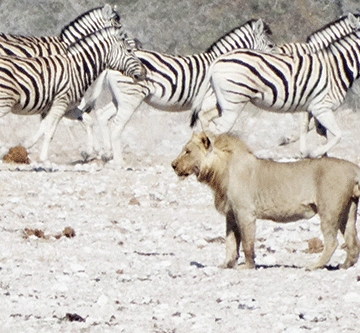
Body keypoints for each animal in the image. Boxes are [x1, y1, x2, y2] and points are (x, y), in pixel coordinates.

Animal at [0, 26, 145, 161]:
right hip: (4, 102)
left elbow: (88, 120)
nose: (144, 72)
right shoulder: (60, 104)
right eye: (129, 51)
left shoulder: (68, 108)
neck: (77, 69)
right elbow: (49, 131)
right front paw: (43, 159)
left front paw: (89, 150)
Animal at [75, 18, 272, 163]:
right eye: (270, 46)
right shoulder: (211, 100)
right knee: (116, 124)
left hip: (121, 98)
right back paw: (118, 161)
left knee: (102, 114)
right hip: (131, 97)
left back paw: (106, 153)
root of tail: (111, 64)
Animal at [172, 131, 360, 268]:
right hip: (348, 210)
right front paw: (226, 265)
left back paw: (314, 266)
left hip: (329, 209)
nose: (173, 165)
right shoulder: (231, 214)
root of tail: (353, 168)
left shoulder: (245, 213)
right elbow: (230, 242)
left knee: (332, 242)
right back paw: (345, 265)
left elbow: (247, 242)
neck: (220, 171)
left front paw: (247, 266)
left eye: (187, 151)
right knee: (352, 241)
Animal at [191, 26, 360, 158]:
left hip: (224, 101)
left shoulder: (312, 108)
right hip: (233, 103)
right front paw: (312, 153)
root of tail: (218, 60)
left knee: (205, 118)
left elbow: (315, 133)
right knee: (219, 129)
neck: (337, 68)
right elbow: (337, 135)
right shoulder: (321, 108)